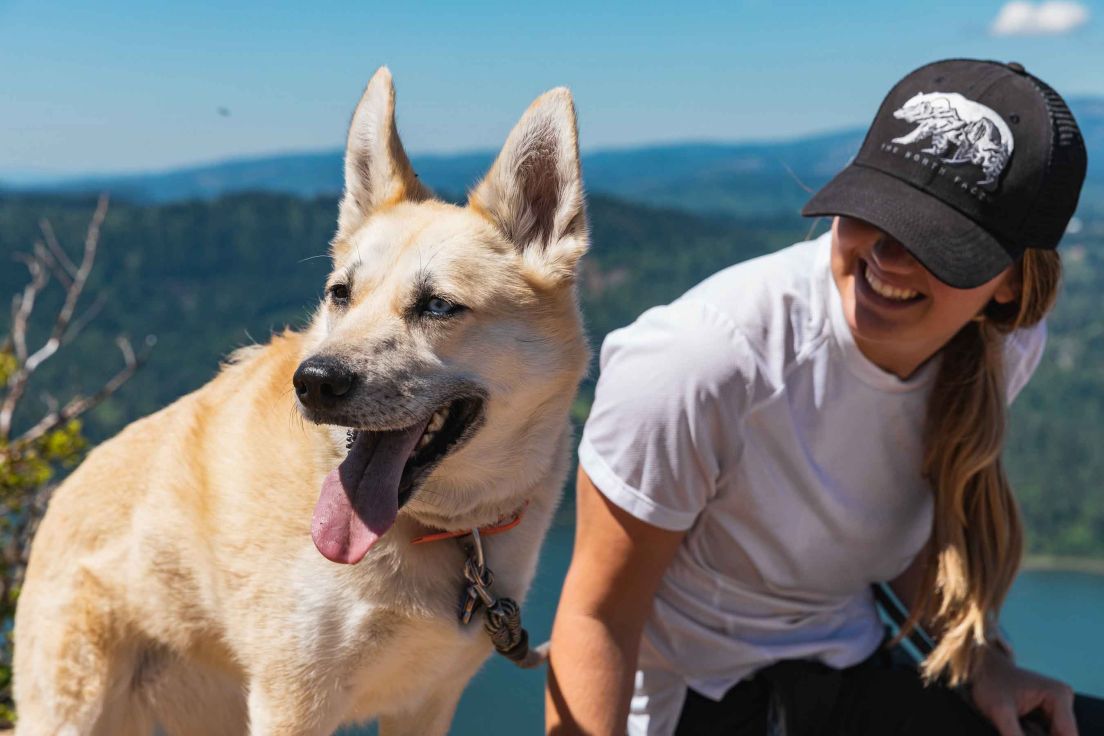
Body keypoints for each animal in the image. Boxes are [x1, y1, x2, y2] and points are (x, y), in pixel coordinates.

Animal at [12, 66, 591, 732]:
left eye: (439, 306)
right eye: (340, 294)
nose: (313, 382)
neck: (439, 532)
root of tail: (59, 498)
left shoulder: (428, 700)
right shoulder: (293, 698)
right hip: (74, 706)